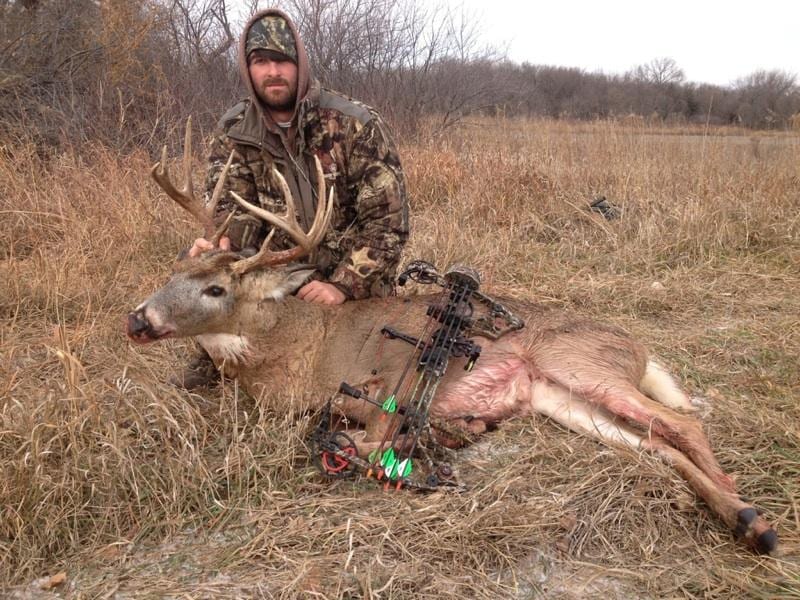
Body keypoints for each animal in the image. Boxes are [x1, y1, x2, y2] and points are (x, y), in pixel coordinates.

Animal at [127, 127, 779, 556]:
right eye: (172, 272)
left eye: (214, 288)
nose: (137, 319)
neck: (296, 350)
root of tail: (639, 349)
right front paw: (455, 429)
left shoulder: (382, 373)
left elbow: (363, 435)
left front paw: (429, 437)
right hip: (561, 401)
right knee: (657, 446)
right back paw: (749, 519)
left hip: (578, 363)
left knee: (685, 423)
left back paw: (747, 509)